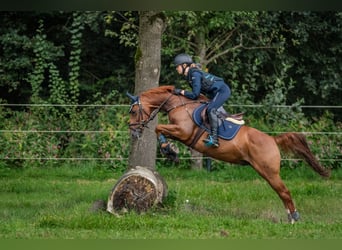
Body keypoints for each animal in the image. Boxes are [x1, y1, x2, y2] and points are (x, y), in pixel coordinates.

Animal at [127, 85, 330, 224]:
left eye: (134, 111)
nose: (133, 132)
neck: (178, 104)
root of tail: (272, 139)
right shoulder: (179, 132)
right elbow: (160, 130)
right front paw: (170, 151)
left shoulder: (183, 132)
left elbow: (159, 128)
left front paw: (169, 150)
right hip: (266, 172)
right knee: (282, 192)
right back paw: (290, 216)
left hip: (269, 172)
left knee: (285, 192)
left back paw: (294, 217)